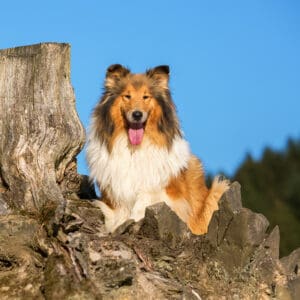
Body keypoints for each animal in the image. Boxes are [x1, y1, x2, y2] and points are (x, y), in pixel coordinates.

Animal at [86, 64, 230, 234]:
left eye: (145, 97)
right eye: (127, 96)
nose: (137, 114)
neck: (135, 148)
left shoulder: (164, 190)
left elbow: (144, 200)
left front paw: (134, 219)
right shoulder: (115, 187)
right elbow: (120, 209)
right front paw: (118, 224)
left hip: (213, 187)